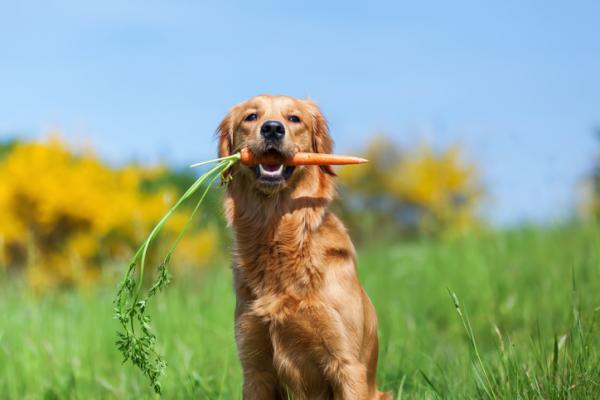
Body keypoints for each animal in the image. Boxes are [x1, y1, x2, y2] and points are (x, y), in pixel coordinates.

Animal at [218, 95, 386, 398]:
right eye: (251, 116)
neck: (276, 235)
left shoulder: (347, 364)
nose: (272, 129)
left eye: (294, 118)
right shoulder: (255, 366)